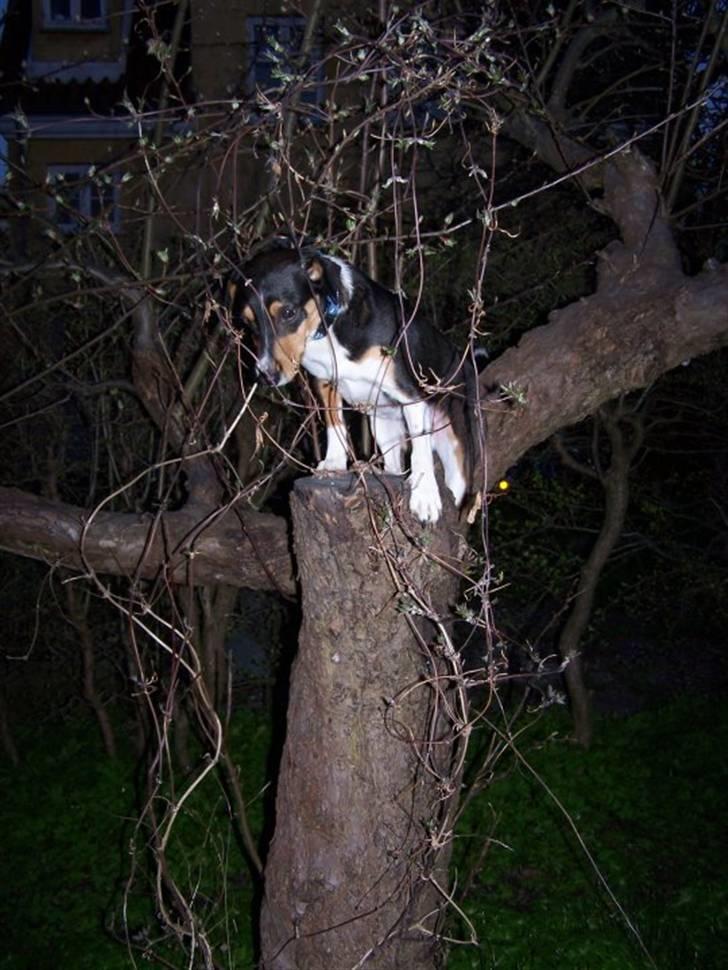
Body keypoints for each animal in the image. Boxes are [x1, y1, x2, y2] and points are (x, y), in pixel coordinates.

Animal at [225, 240, 480, 520]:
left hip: (456, 449)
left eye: (289, 313)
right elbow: (334, 423)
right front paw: (334, 462)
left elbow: (420, 446)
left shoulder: (409, 394)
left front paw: (425, 496)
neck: (329, 327)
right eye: (248, 323)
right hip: (382, 427)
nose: (266, 375)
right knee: (394, 463)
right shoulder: (325, 383)